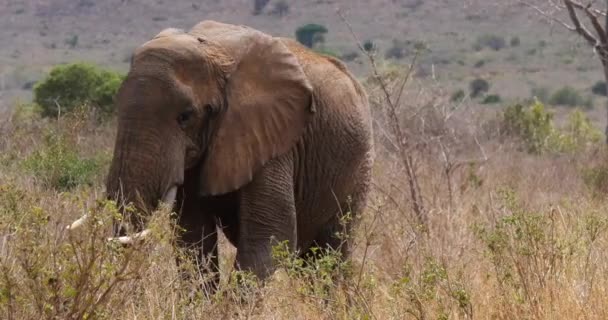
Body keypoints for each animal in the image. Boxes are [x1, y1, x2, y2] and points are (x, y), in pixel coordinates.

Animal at [89, 20, 376, 288]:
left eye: (185, 117)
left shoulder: (272, 138)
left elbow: (269, 234)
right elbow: (192, 234)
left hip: (358, 167)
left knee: (330, 254)